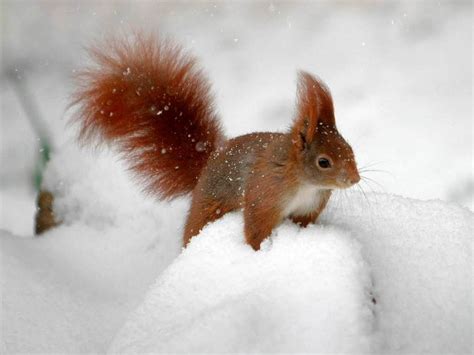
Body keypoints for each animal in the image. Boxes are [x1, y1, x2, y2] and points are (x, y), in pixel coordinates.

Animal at [72, 33, 358, 250]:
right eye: (324, 162)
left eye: (350, 149)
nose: (355, 179)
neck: (303, 181)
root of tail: (207, 165)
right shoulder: (265, 195)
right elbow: (255, 229)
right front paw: (258, 252)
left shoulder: (308, 209)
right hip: (207, 211)